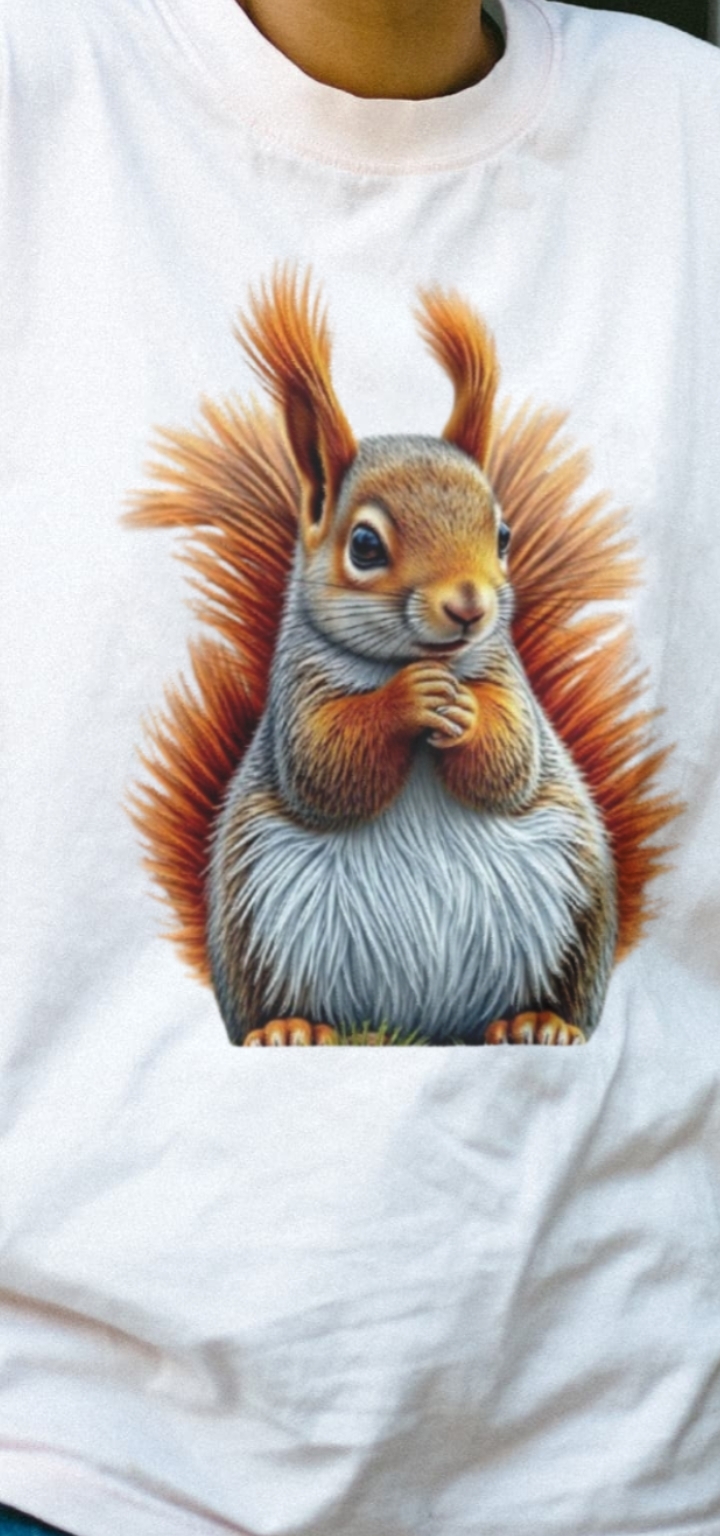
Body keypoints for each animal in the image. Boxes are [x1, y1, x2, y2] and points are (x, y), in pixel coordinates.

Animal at [126, 267, 680, 1046]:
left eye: (504, 535)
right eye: (364, 545)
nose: (470, 605)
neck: (415, 656)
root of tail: (424, 1020)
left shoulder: (511, 686)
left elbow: (509, 762)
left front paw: (465, 713)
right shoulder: (298, 696)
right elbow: (328, 768)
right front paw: (407, 702)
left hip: (574, 893)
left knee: (562, 995)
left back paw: (536, 1021)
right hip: (259, 914)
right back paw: (291, 1027)